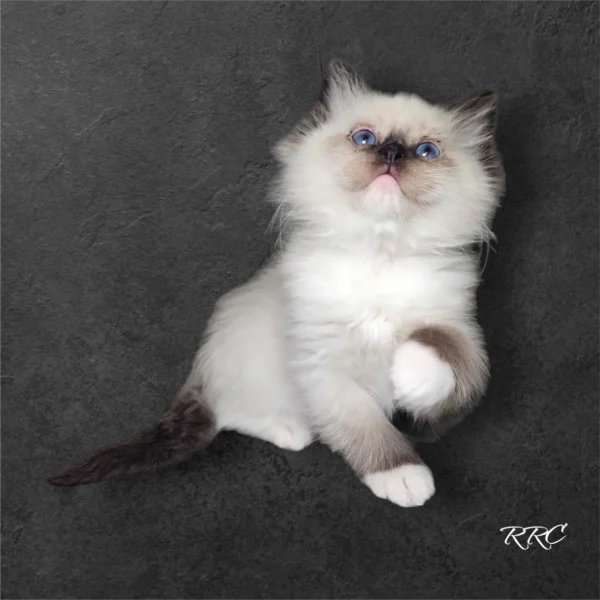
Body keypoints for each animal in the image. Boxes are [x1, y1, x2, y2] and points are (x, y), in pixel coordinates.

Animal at [50, 59, 506, 506]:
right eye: (364, 138)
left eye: (427, 151)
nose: (391, 152)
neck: (378, 255)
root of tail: (201, 369)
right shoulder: (325, 370)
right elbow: (366, 429)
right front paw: (402, 477)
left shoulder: (460, 335)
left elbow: (441, 346)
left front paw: (410, 382)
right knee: (232, 415)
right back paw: (293, 432)